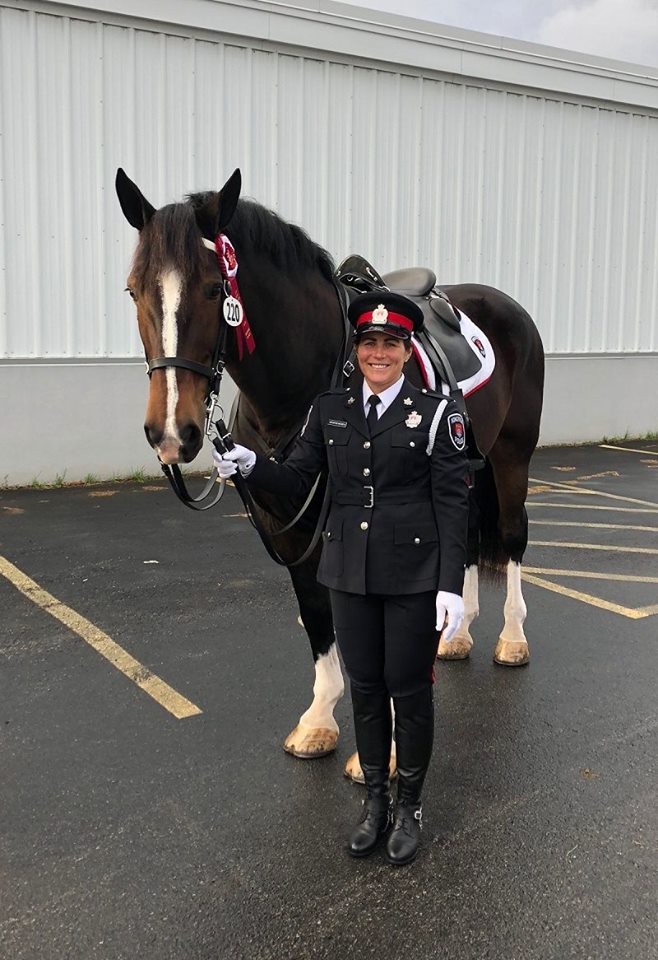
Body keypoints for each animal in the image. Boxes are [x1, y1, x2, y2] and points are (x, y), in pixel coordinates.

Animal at [116, 169, 544, 776]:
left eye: (212, 289)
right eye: (134, 289)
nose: (172, 433)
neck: (309, 382)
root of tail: (505, 305)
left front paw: (387, 750)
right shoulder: (290, 526)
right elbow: (318, 617)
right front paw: (319, 720)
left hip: (512, 456)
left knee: (510, 538)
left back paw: (511, 636)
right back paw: (456, 634)